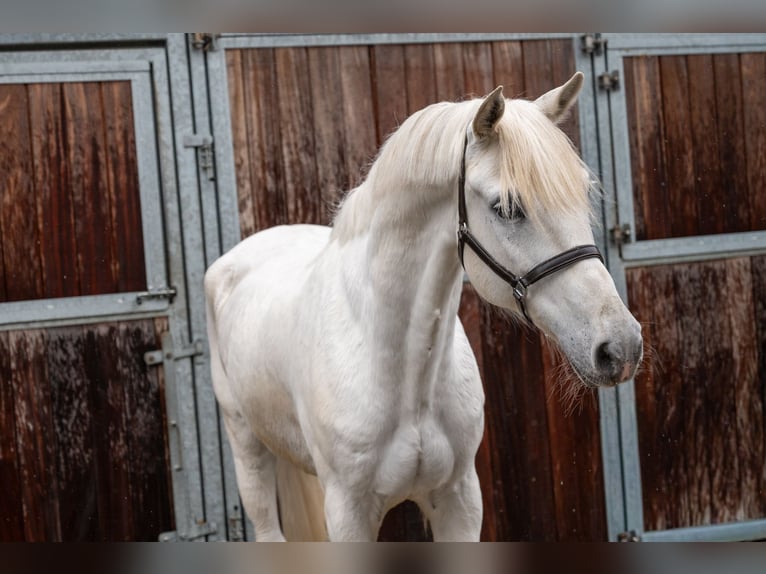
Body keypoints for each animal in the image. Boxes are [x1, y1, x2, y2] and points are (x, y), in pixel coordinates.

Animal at [204, 71, 643, 541]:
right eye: (506, 208)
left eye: (583, 193)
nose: (621, 346)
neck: (402, 374)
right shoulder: (348, 513)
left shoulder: (460, 499)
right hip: (247, 450)